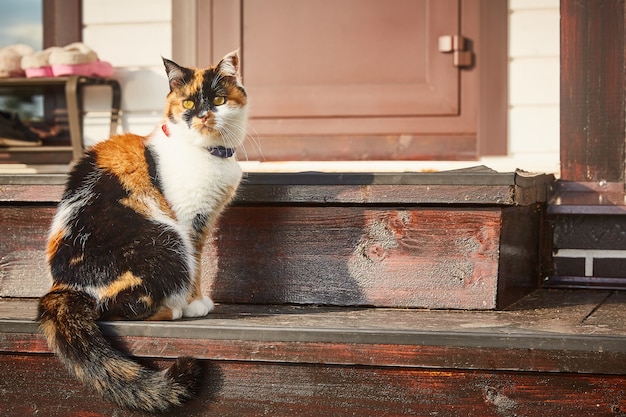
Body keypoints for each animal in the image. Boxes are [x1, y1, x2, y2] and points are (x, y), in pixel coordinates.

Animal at [37, 50, 247, 412]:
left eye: (219, 100)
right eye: (188, 103)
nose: (204, 116)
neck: (210, 154)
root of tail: (63, 288)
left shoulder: (205, 222)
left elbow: (201, 261)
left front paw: (198, 298)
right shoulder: (188, 220)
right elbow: (196, 266)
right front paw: (193, 303)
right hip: (165, 241)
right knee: (117, 307)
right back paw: (174, 309)